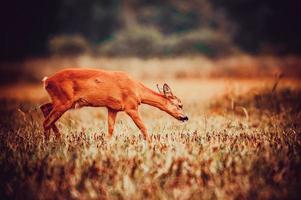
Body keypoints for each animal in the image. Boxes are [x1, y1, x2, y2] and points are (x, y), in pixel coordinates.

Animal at [40, 68, 188, 141]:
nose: (185, 117)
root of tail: (47, 81)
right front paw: (152, 145)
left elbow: (110, 130)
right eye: (180, 105)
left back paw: (58, 139)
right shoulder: (131, 107)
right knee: (46, 121)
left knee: (44, 108)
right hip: (64, 101)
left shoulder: (112, 108)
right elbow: (143, 128)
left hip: (61, 101)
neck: (137, 90)